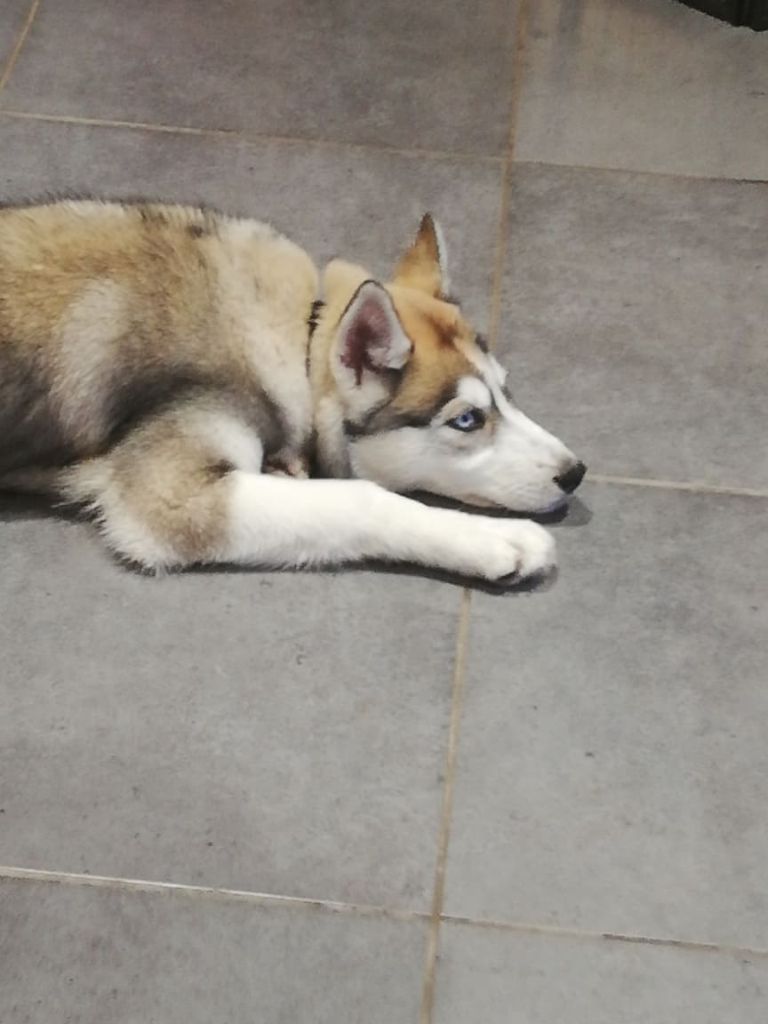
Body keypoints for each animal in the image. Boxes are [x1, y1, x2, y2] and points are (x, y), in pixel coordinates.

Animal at [0, 199, 585, 583]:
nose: (575, 472)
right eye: (467, 419)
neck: (301, 336)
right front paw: (492, 540)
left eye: (507, 391)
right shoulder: (172, 498)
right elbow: (360, 500)